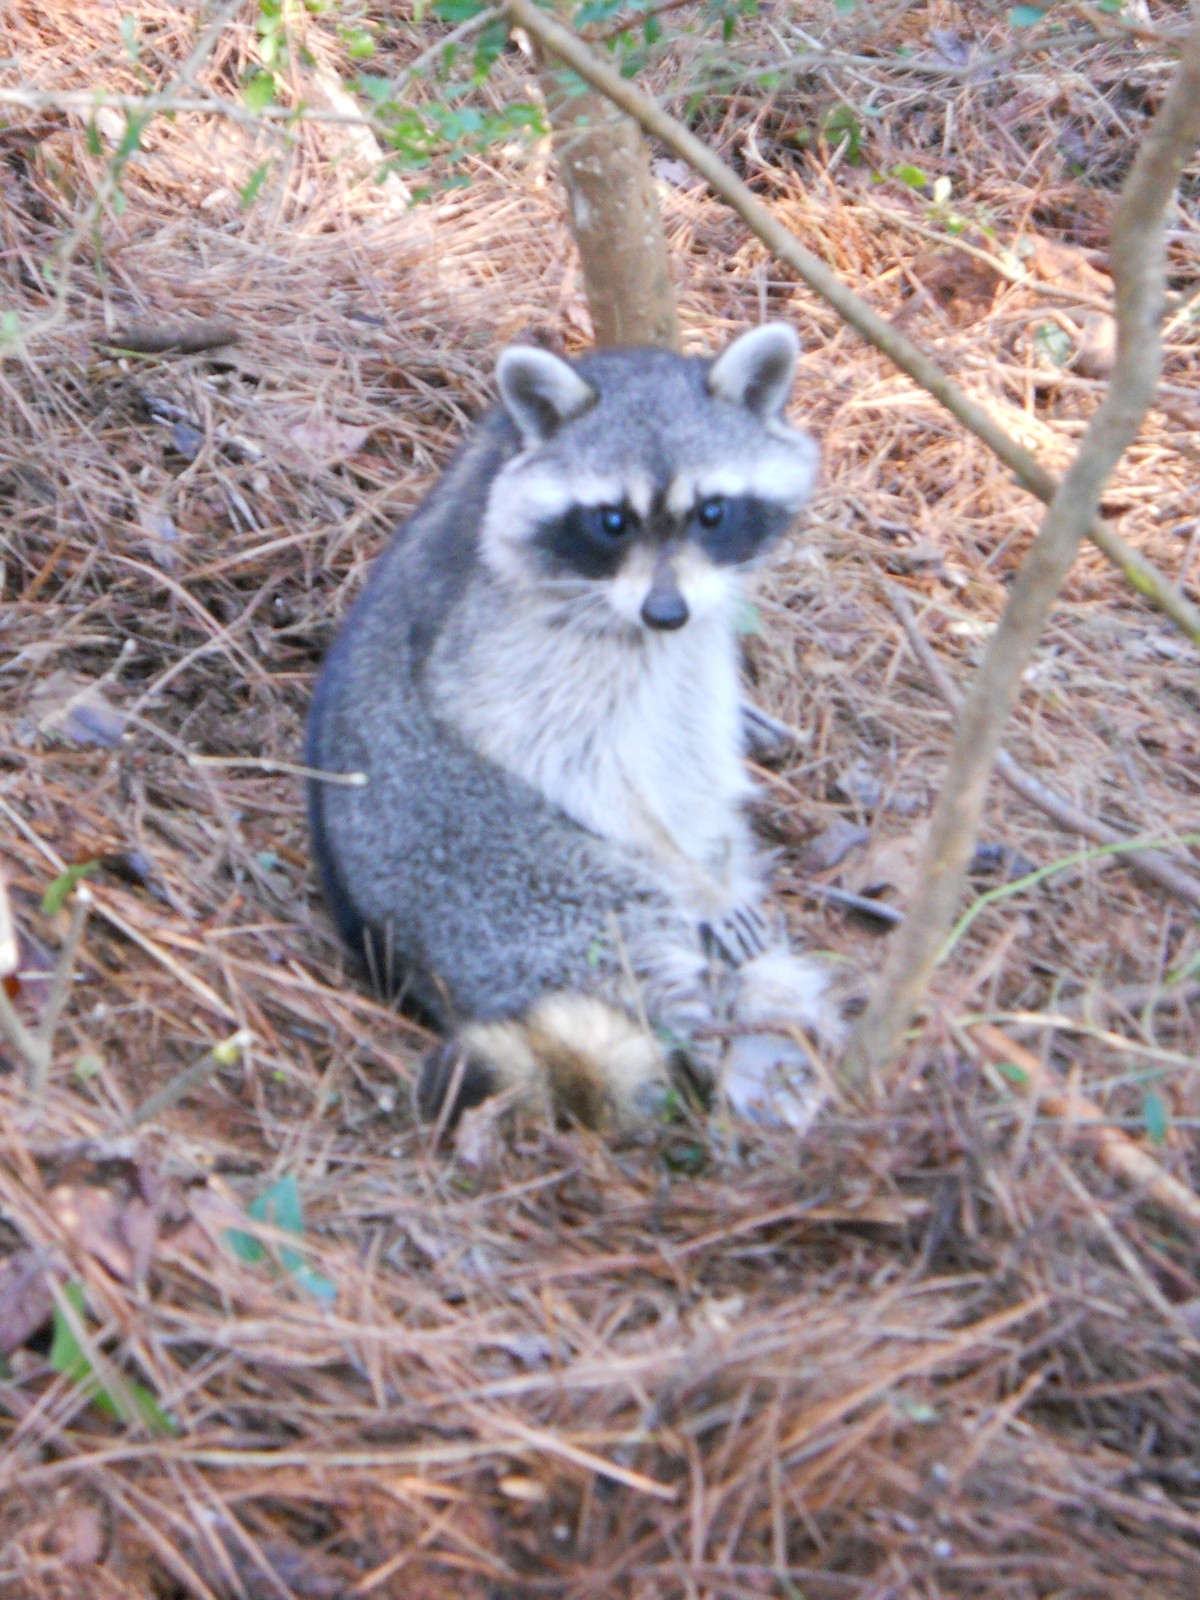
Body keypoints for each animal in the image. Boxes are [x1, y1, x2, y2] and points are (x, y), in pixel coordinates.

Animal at [306, 323, 842, 1137]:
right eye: (612, 520)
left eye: (712, 512)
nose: (665, 614)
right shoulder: (501, 640)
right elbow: (554, 751)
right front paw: (694, 878)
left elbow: (699, 727)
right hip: (507, 888)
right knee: (632, 943)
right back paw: (708, 1054)